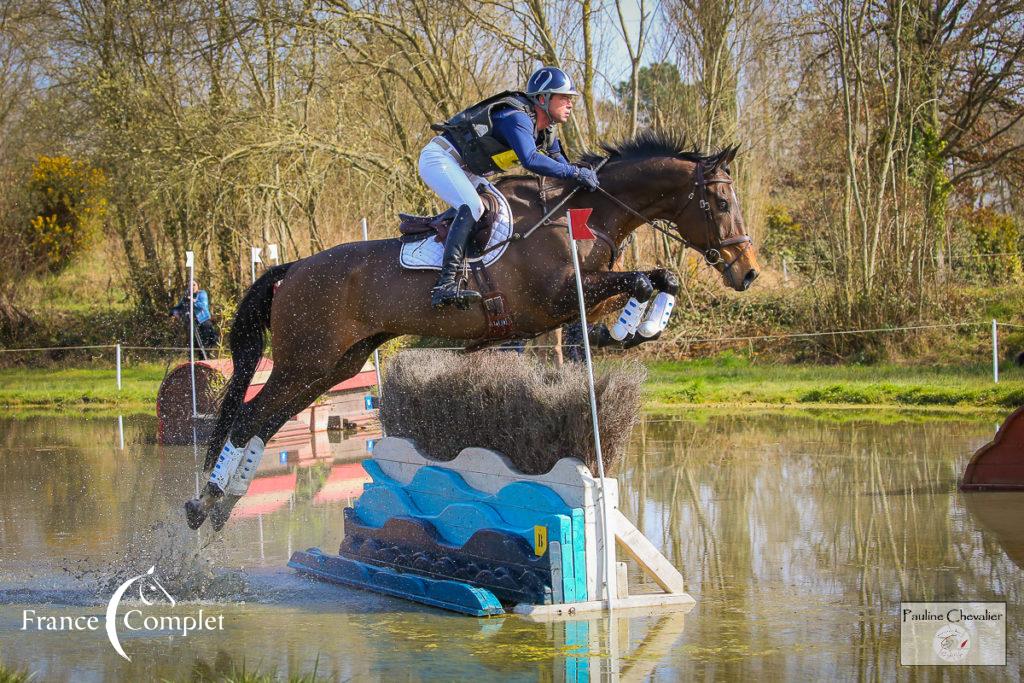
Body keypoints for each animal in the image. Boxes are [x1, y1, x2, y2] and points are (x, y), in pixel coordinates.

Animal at [184, 131, 761, 532]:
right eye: (722, 203)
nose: (748, 272)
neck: (583, 214)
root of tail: (294, 268)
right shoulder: (555, 298)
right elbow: (645, 278)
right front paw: (629, 330)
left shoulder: (576, 296)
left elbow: (662, 278)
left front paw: (634, 330)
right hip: (305, 360)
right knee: (251, 417)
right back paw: (205, 504)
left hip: (336, 365)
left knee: (264, 421)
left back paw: (220, 503)